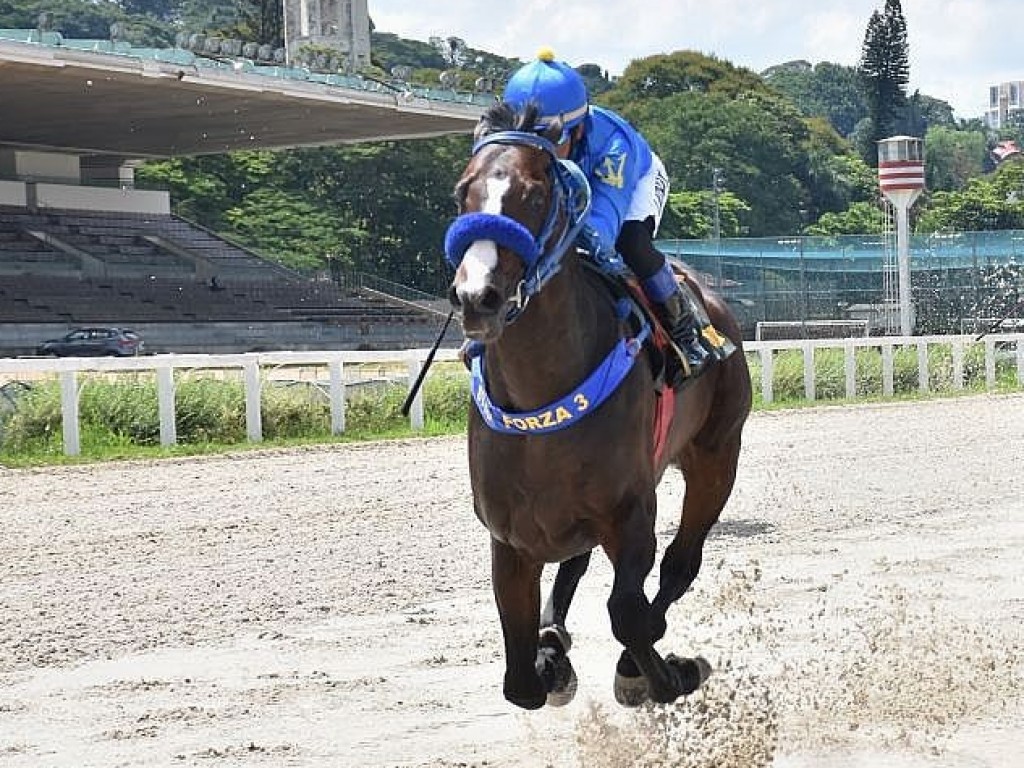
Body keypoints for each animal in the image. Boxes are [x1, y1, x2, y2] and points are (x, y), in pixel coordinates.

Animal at [448, 102, 753, 708]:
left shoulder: (631, 512)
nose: (476, 298)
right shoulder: (510, 539)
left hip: (716, 454)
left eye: (534, 195)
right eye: (462, 192)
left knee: (680, 565)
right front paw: (548, 659)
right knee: (578, 561)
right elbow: (520, 683)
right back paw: (555, 637)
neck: (540, 403)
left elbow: (629, 615)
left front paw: (665, 671)